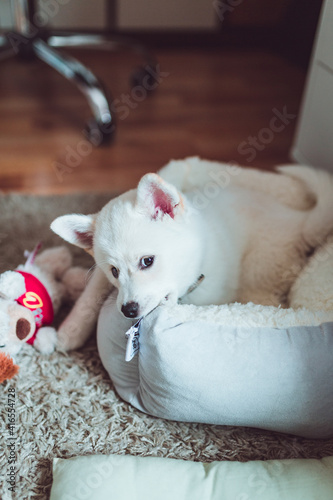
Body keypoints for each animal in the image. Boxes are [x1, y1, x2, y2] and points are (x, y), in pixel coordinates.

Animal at [50, 158, 332, 350]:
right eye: (114, 271)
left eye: (147, 261)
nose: (128, 310)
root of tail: (297, 221)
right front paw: (70, 331)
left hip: (259, 270)